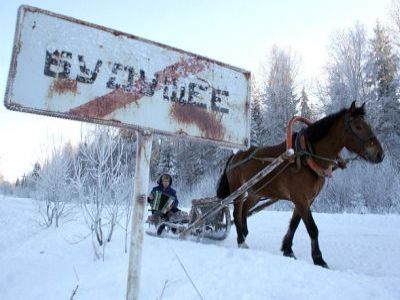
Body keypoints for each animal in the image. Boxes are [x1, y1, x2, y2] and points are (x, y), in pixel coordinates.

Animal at [217, 101, 382, 268]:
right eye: (358, 126)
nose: (379, 154)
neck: (306, 157)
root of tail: (236, 155)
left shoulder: (307, 199)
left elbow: (294, 224)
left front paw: (287, 249)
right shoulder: (300, 198)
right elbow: (312, 228)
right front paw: (318, 258)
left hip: (256, 192)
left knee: (244, 210)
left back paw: (244, 233)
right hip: (238, 190)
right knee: (237, 213)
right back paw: (241, 241)